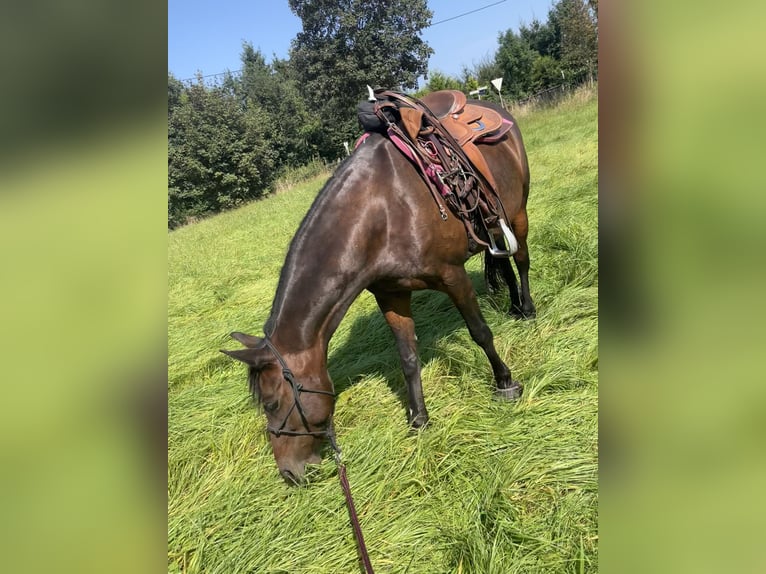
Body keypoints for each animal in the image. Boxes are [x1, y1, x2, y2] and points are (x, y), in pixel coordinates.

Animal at [222, 100, 536, 486]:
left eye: (270, 404)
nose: (290, 474)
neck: (383, 211)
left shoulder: (453, 276)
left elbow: (480, 332)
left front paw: (505, 383)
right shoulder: (390, 295)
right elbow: (408, 357)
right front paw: (418, 420)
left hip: (518, 212)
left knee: (521, 260)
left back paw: (526, 308)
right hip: (492, 224)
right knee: (502, 261)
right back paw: (511, 303)